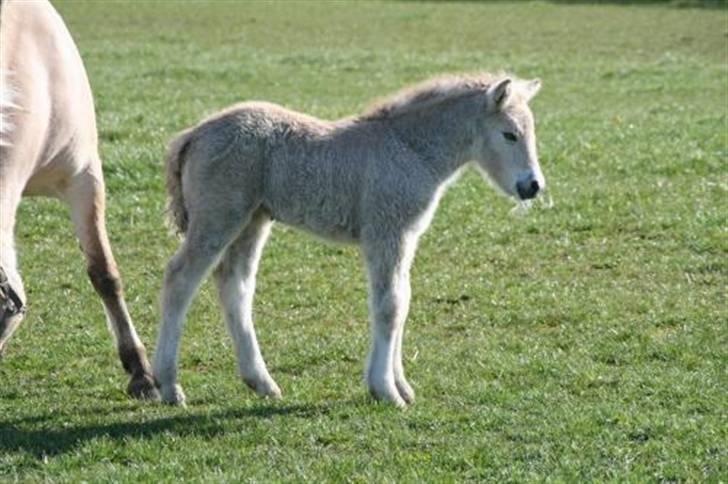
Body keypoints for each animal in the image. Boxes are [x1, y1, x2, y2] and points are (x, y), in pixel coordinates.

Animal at [155, 73, 540, 404]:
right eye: (509, 134)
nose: (532, 186)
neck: (410, 148)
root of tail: (195, 133)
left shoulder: (405, 236)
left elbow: (402, 300)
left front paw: (400, 385)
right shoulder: (387, 233)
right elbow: (390, 306)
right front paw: (386, 390)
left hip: (253, 220)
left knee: (235, 285)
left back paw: (261, 381)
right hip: (218, 217)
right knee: (180, 278)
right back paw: (168, 384)